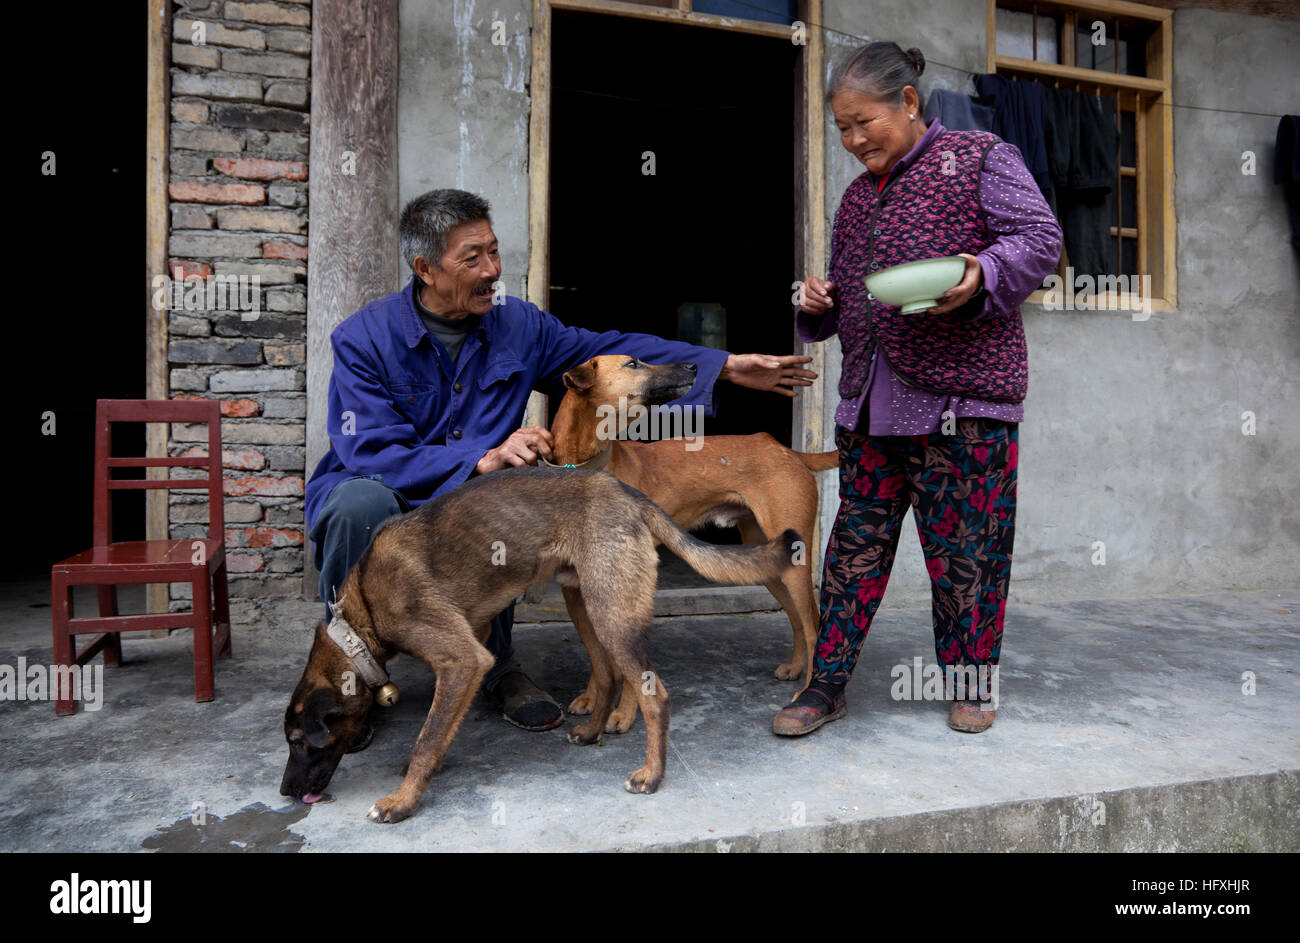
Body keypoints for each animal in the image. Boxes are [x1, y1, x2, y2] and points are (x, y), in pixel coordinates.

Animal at [278, 468, 795, 822]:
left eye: (300, 742)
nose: (285, 792)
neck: (359, 619)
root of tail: (627, 494)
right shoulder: (475, 640)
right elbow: (439, 729)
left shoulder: (462, 659)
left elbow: (428, 738)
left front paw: (403, 801)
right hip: (584, 604)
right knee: (608, 675)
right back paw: (591, 733)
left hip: (612, 615)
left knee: (654, 696)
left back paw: (652, 775)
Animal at [551, 356, 837, 733]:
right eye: (633, 363)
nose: (691, 366)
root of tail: (784, 449)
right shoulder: (575, 592)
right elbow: (598, 656)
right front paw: (591, 698)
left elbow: (628, 668)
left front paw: (623, 714)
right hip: (769, 564)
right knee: (797, 619)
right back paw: (795, 669)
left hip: (795, 566)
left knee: (813, 625)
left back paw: (807, 691)